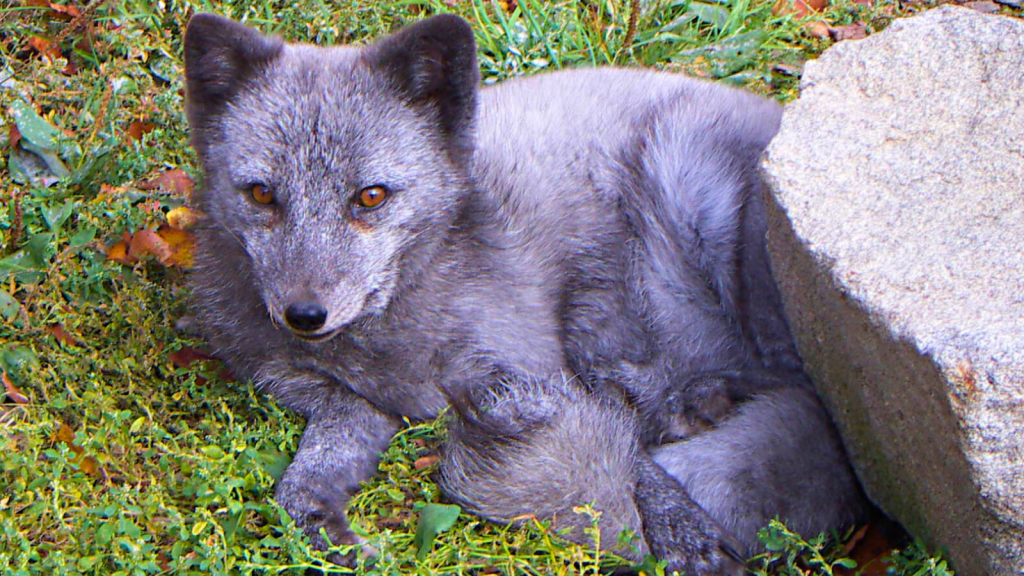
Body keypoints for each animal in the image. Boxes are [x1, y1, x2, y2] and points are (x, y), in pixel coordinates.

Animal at [182, 11, 864, 569]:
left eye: (370, 197)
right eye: (261, 194)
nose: (304, 315)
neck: (390, 345)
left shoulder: (533, 372)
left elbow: (633, 462)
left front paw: (682, 530)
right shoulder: (320, 393)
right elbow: (303, 476)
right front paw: (324, 527)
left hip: (690, 184)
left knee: (800, 395)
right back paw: (695, 404)